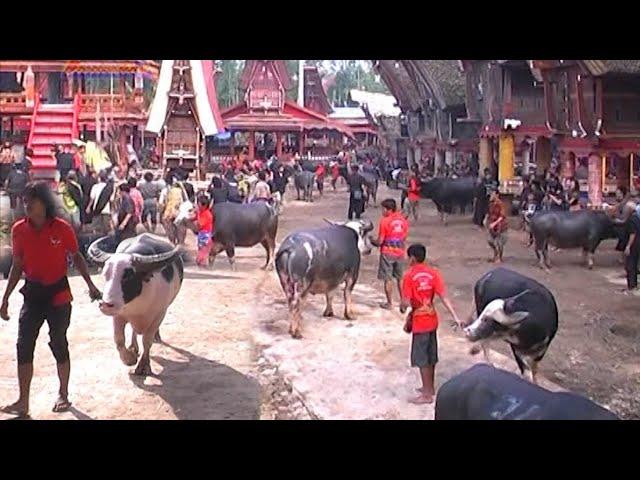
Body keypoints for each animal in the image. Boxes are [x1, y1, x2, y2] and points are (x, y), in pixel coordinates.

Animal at [86, 234, 184, 376]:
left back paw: (156, 337)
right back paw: (133, 347)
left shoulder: (159, 314)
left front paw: (143, 366)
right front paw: (129, 358)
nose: (105, 305)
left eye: (128, 276)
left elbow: (147, 341)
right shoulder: (118, 316)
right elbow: (119, 340)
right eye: (105, 274)